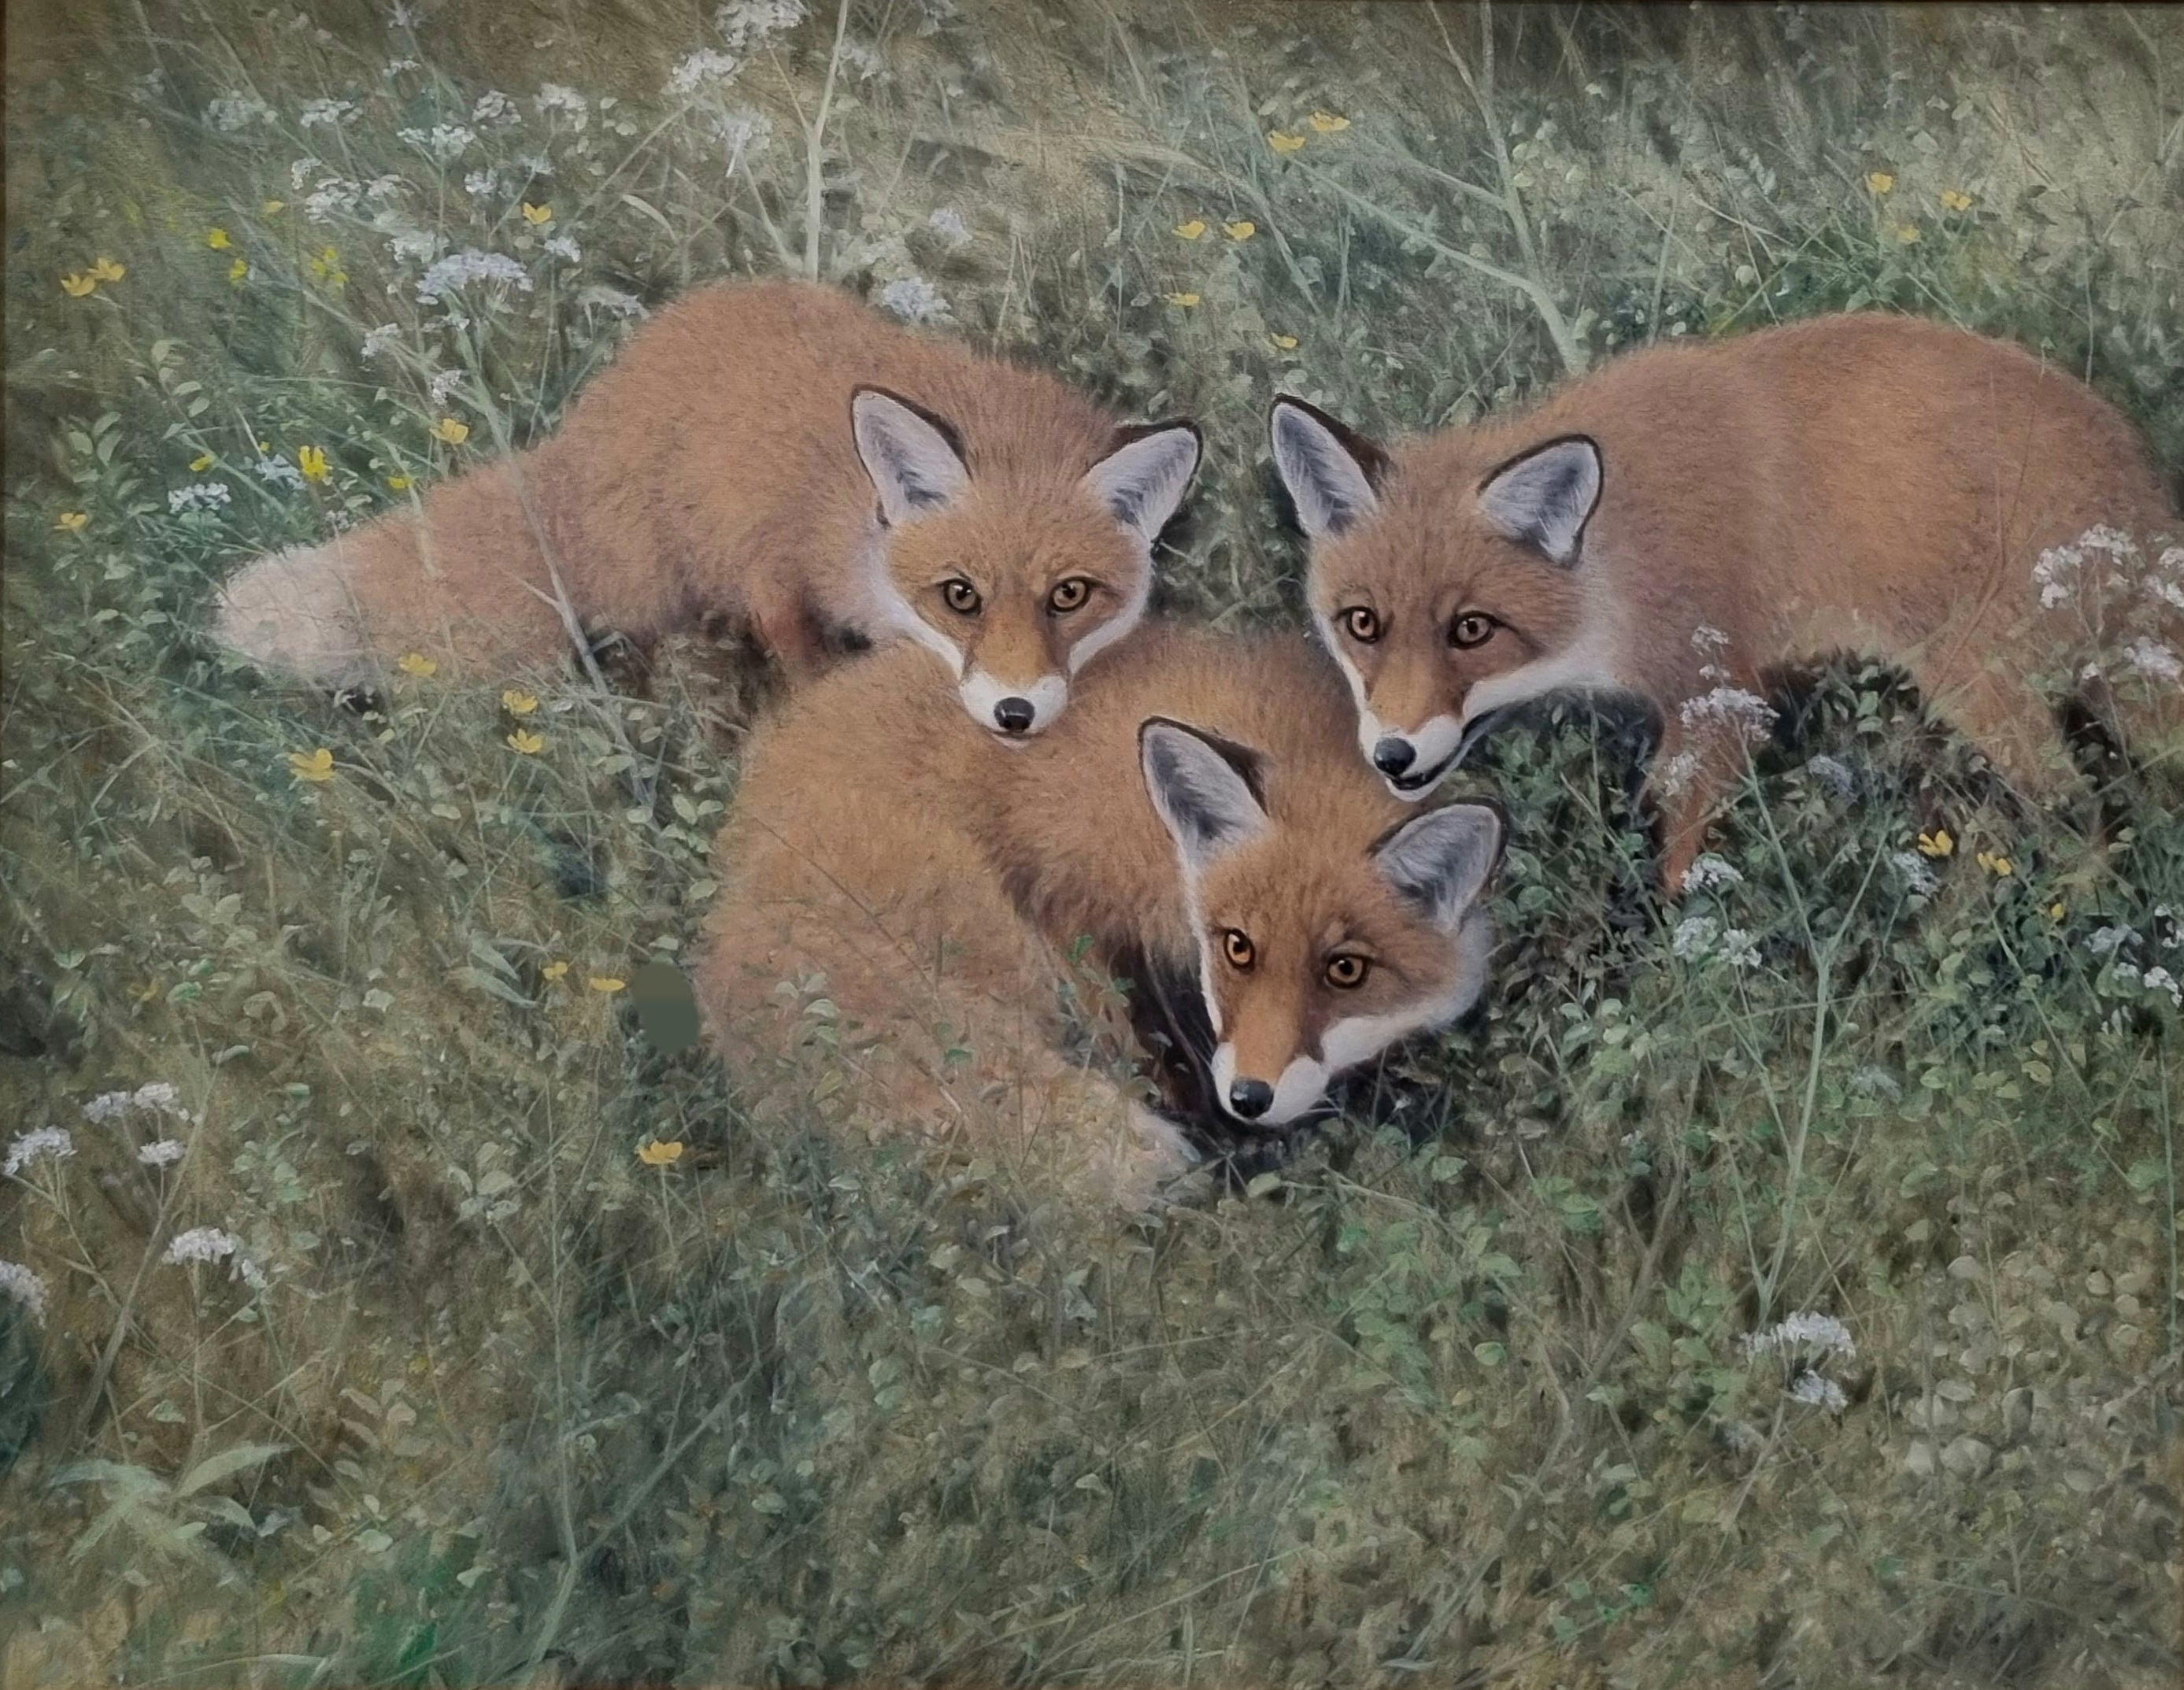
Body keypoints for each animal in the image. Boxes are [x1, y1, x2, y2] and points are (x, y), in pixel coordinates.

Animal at [213, 278, 1201, 737]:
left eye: (1069, 597)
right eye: (959, 597)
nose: (1015, 714)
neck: (846, 514)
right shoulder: (768, 556)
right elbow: (799, 652)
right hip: (658, 591)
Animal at [1267, 312, 2181, 890]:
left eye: (1470, 631)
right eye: (1360, 625)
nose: (1391, 755)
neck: (1617, 551)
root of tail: (2143, 490)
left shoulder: (1719, 697)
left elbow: (1678, 850)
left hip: (1981, 690)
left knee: (2083, 821)